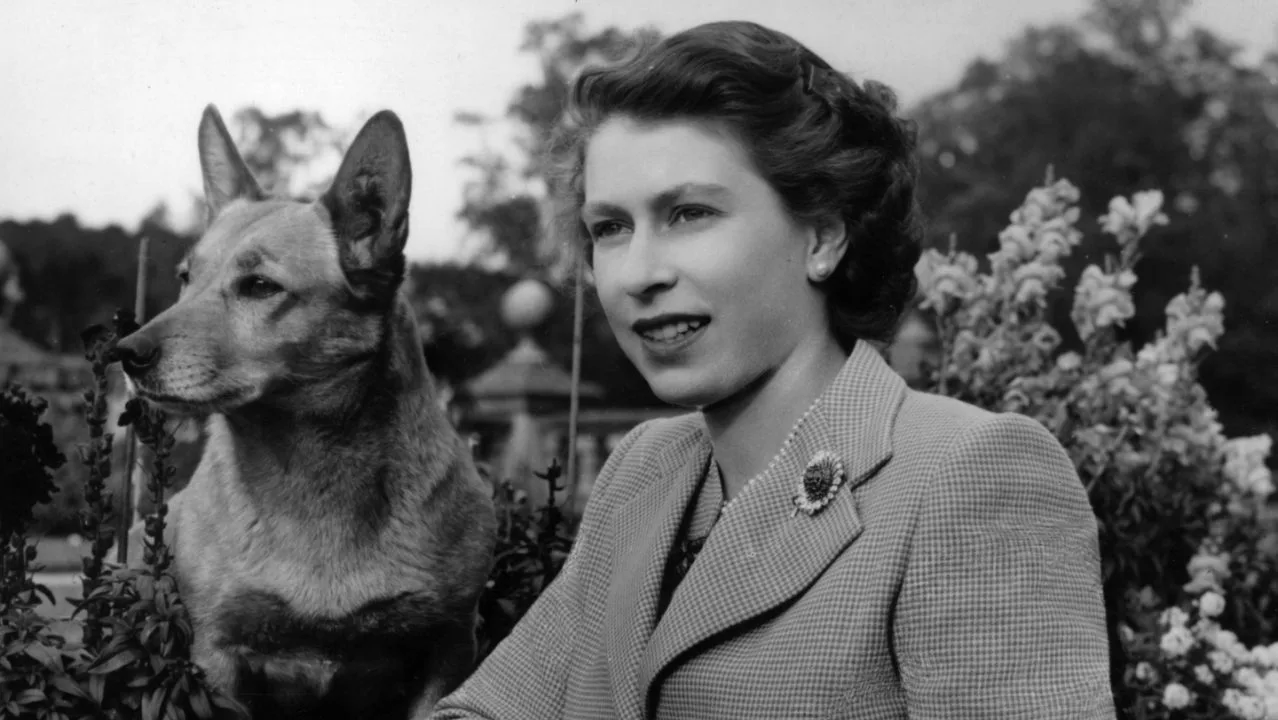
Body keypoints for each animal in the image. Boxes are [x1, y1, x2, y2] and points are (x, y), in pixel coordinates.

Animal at [115, 104, 495, 716]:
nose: (126, 353)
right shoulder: (216, 657)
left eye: (259, 286)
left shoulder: (451, 647)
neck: (312, 473)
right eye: (185, 279)